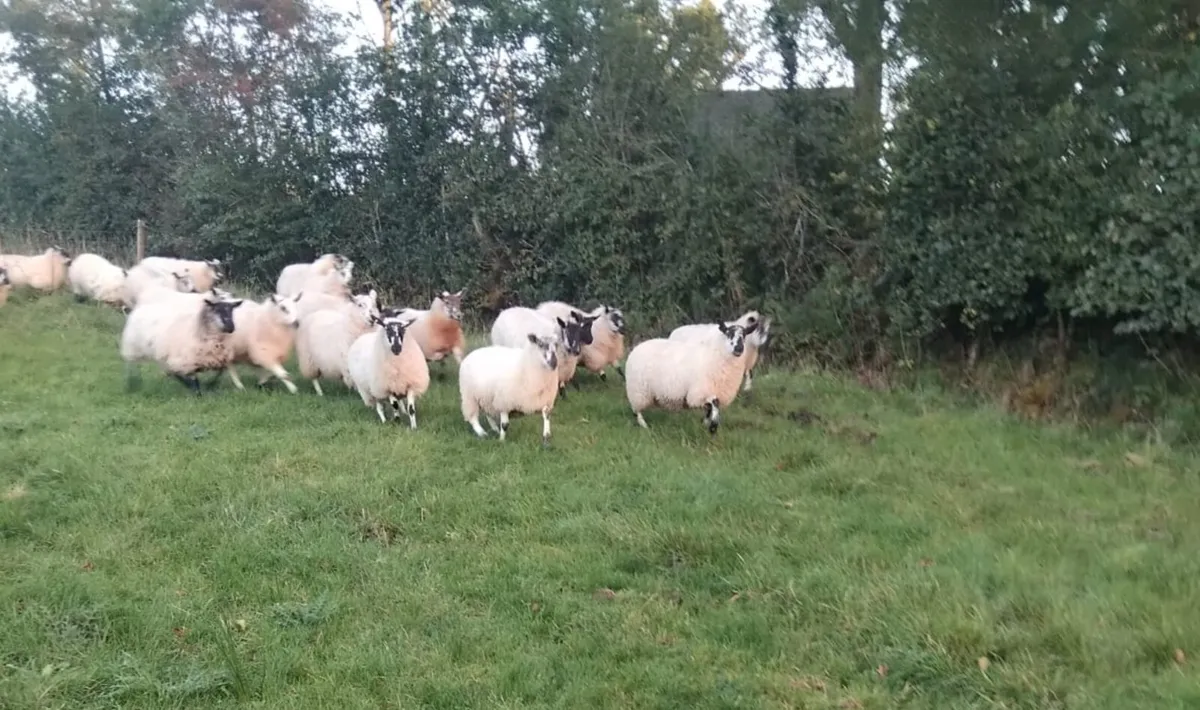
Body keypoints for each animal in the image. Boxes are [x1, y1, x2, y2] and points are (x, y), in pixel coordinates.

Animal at [624, 320, 758, 434]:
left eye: (745, 335)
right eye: (728, 333)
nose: (739, 348)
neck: (715, 356)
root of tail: (637, 347)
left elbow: (710, 409)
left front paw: (706, 423)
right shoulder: (700, 392)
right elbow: (714, 404)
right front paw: (712, 427)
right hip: (638, 391)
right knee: (636, 410)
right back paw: (644, 425)